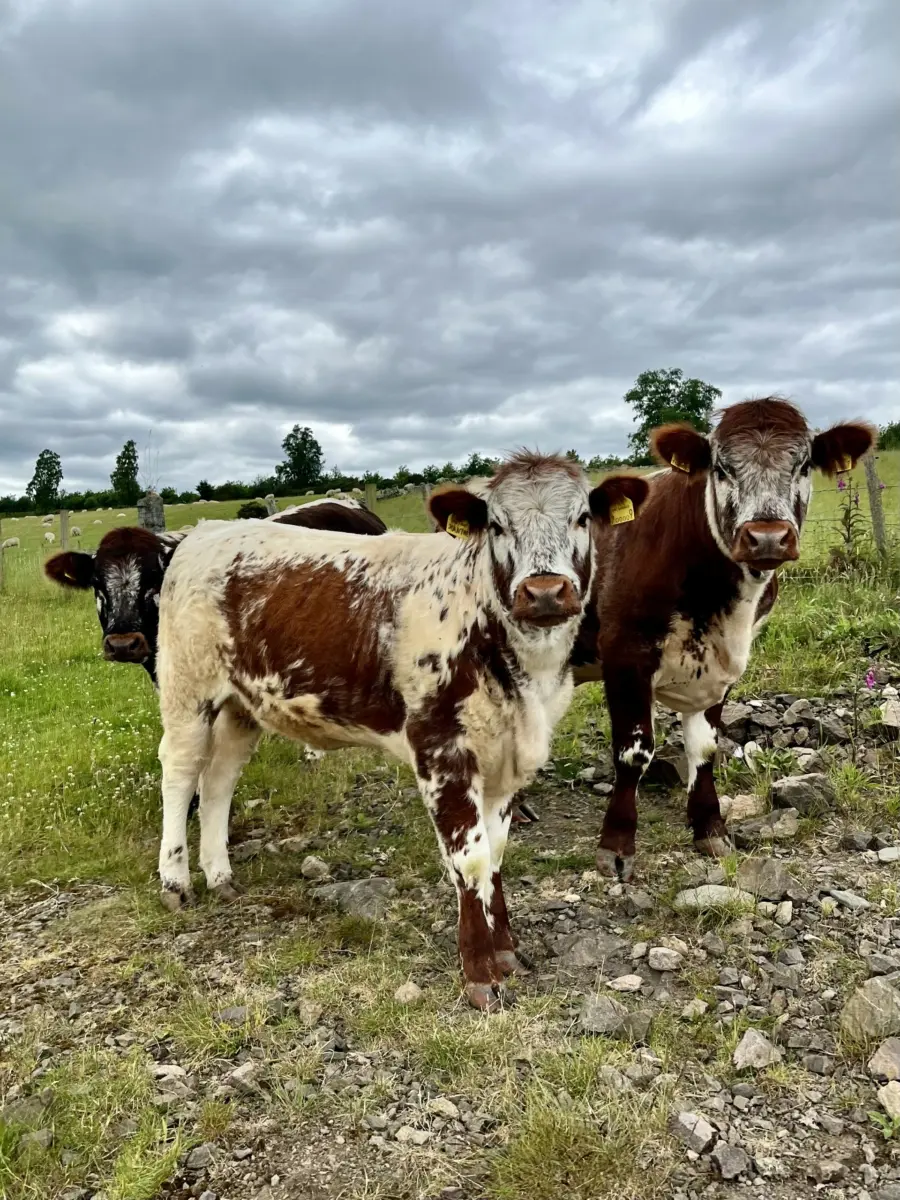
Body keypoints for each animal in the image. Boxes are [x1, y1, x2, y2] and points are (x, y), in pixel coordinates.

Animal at [153, 454, 648, 1009]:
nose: (544, 592)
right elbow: (471, 861)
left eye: (582, 518)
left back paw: (220, 873)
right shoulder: (440, 749)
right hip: (187, 689)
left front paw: (506, 951)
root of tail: (204, 532)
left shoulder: (506, 758)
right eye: (498, 525)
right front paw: (480, 973)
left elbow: (496, 856)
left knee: (218, 780)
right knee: (180, 774)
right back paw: (176, 881)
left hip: (242, 705)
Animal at [571, 397, 874, 881]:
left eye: (804, 463)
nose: (766, 537)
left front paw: (710, 829)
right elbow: (633, 754)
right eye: (721, 468)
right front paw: (616, 847)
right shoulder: (624, 653)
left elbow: (707, 749)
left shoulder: (723, 665)